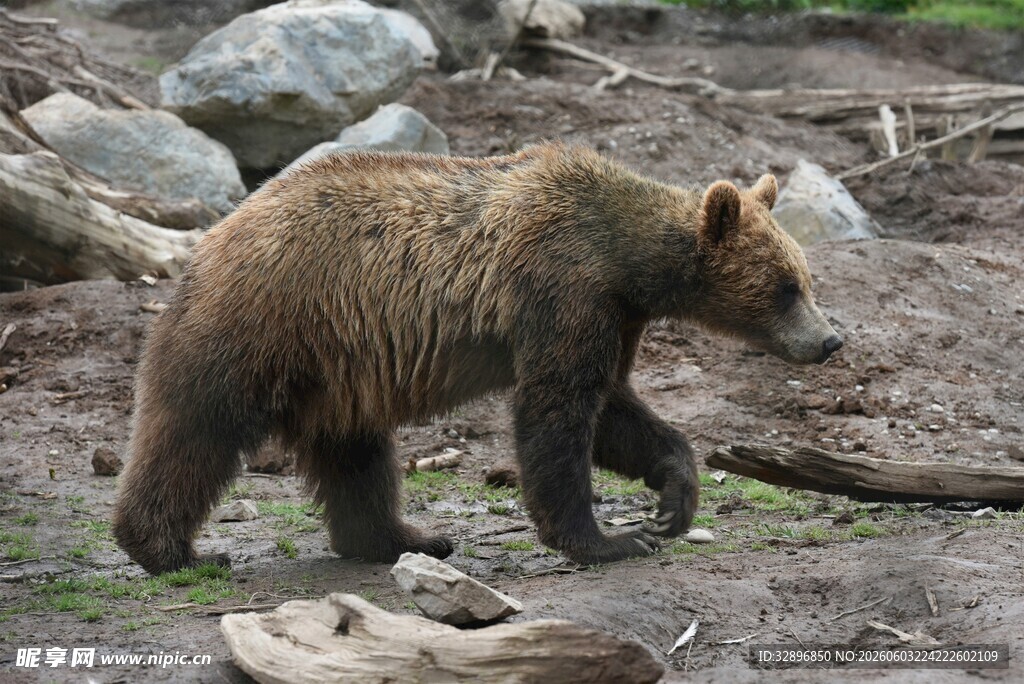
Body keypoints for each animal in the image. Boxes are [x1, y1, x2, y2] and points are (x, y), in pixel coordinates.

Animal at [112, 142, 842, 575]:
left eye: (804, 277)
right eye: (785, 286)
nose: (830, 340)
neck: (627, 263)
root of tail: (213, 236)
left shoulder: (613, 316)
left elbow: (614, 408)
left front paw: (672, 498)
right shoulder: (562, 292)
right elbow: (558, 414)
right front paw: (606, 538)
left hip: (338, 366)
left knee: (356, 454)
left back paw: (403, 537)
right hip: (264, 323)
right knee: (196, 429)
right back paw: (167, 549)